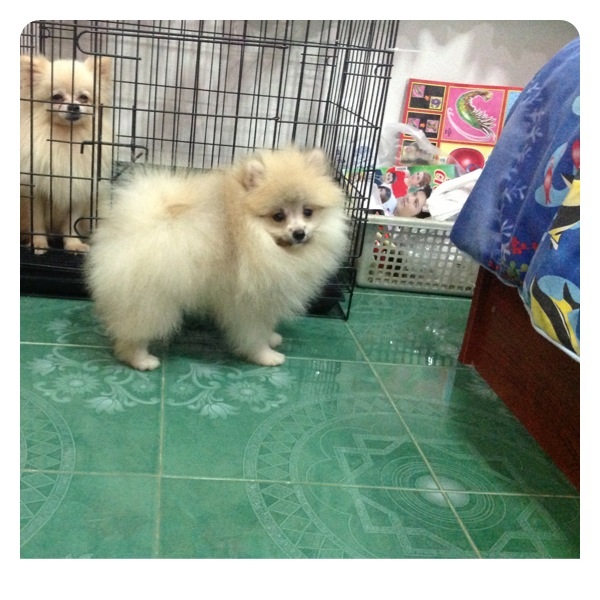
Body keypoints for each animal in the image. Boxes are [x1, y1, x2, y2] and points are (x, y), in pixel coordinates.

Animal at [20, 54, 113, 253]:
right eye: (56, 97)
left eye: (84, 98)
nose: (73, 106)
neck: (65, 138)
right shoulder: (36, 191)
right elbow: (37, 221)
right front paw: (39, 243)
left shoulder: (78, 187)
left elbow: (72, 222)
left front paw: (73, 244)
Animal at [84, 147, 349, 370]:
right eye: (278, 216)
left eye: (308, 211)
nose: (299, 233)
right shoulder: (249, 305)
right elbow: (254, 334)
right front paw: (265, 356)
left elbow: (267, 326)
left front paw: (272, 337)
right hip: (151, 299)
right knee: (134, 333)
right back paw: (140, 359)